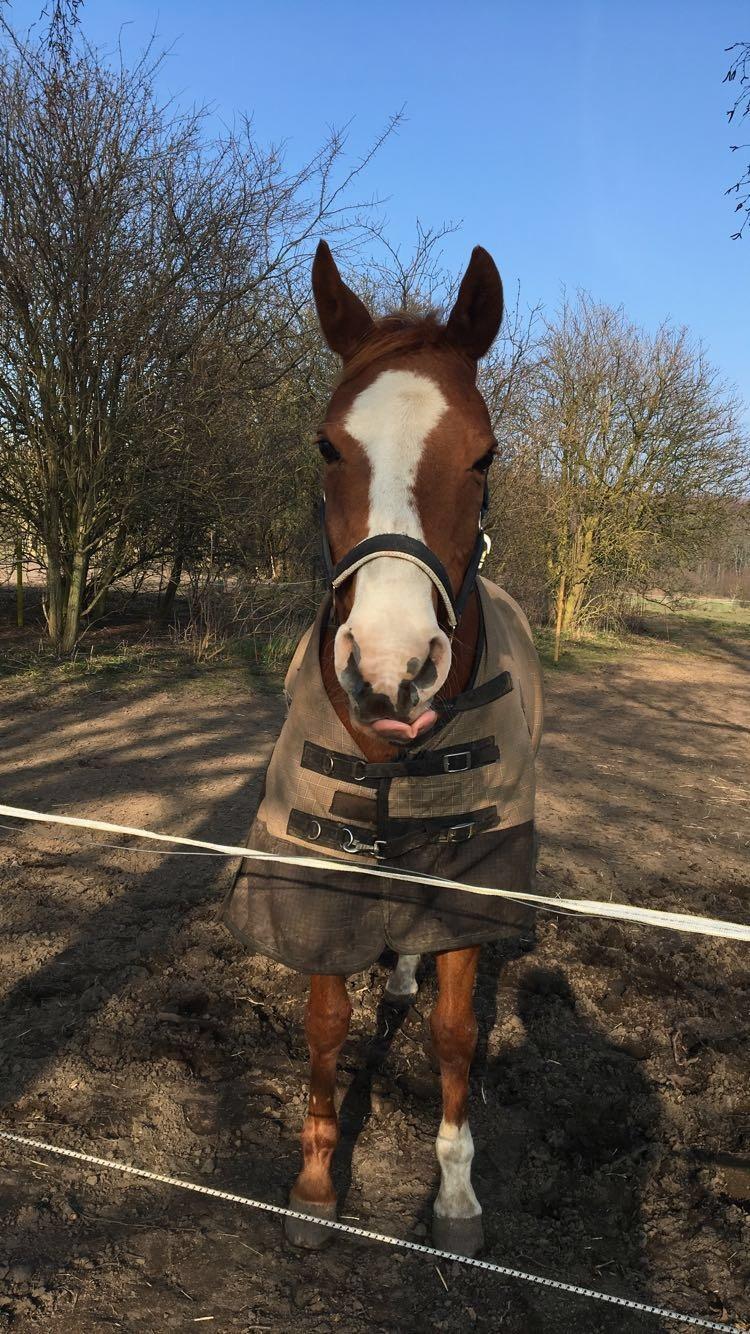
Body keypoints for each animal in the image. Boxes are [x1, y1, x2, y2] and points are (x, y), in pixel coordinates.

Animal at [218, 242, 539, 1259]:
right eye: (327, 445)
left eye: (484, 453)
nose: (392, 670)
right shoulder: (319, 878)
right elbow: (327, 1024)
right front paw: (317, 1183)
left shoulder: (468, 884)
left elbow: (453, 1033)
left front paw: (455, 1194)